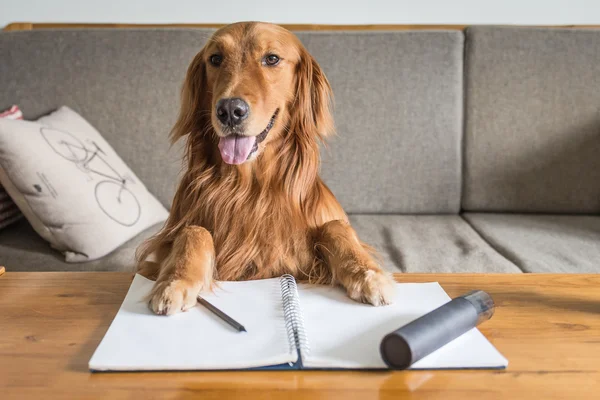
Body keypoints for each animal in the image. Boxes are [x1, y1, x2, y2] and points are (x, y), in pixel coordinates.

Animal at [136, 21, 394, 316]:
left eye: (271, 58)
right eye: (215, 59)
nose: (229, 110)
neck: (249, 187)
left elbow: (335, 227)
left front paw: (369, 274)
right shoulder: (165, 244)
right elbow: (194, 231)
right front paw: (175, 281)